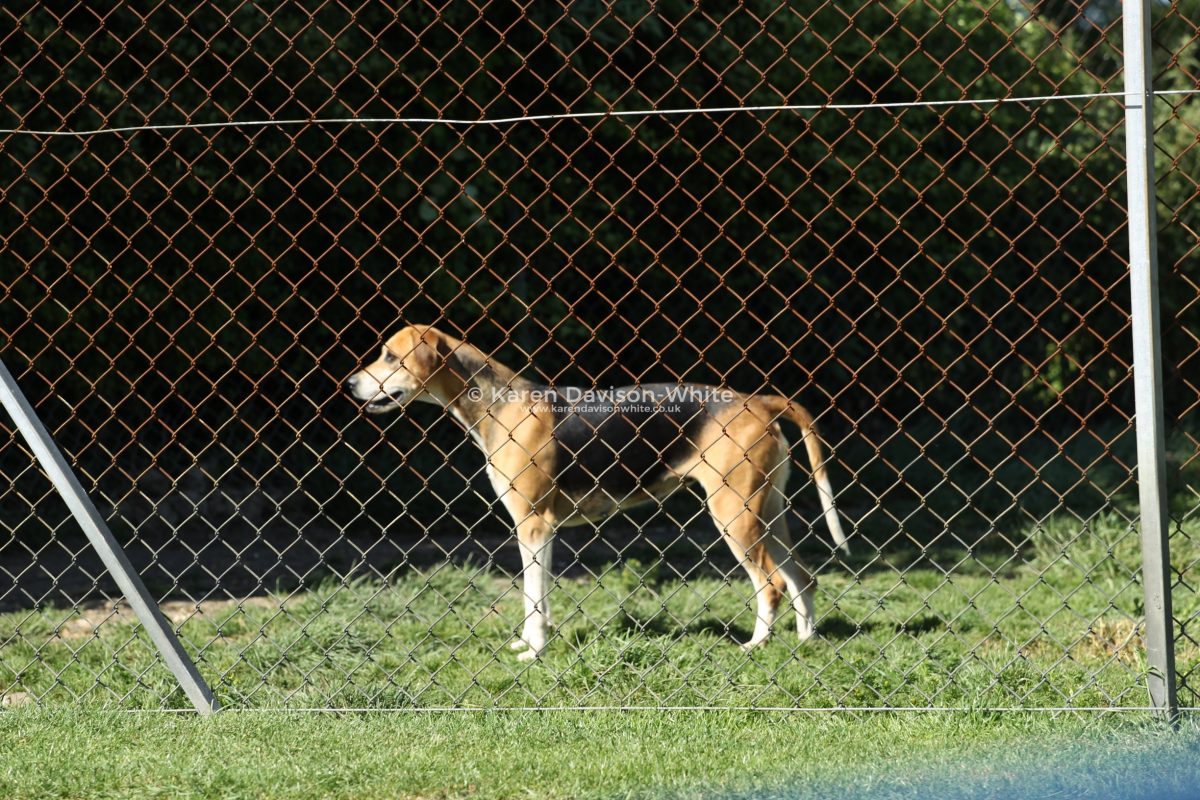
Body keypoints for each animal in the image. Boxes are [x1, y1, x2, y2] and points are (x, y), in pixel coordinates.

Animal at [346, 324, 848, 660]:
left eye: (389, 356)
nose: (349, 383)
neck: (500, 404)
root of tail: (755, 400)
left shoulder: (533, 526)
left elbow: (533, 597)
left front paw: (534, 652)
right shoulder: (539, 531)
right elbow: (536, 596)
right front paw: (530, 642)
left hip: (735, 516)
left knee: (773, 584)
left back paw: (756, 644)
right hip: (768, 514)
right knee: (803, 578)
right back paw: (805, 642)